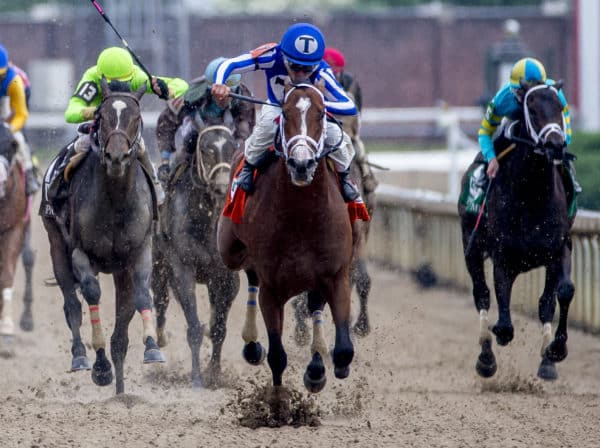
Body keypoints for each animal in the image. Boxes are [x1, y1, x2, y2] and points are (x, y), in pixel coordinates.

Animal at [41, 79, 164, 394]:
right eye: (103, 116)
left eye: (136, 118)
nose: (116, 157)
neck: (116, 200)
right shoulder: (80, 253)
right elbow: (91, 294)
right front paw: (99, 366)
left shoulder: (140, 251)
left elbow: (141, 294)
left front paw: (152, 348)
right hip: (56, 244)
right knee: (72, 304)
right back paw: (81, 356)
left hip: (120, 271)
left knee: (123, 316)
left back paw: (120, 386)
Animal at [151, 123, 240, 388]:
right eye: (205, 149)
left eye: (233, 147)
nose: (221, 186)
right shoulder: (183, 269)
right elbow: (193, 328)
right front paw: (197, 379)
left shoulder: (226, 276)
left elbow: (219, 326)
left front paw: (214, 371)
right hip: (159, 265)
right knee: (161, 300)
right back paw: (160, 338)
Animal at [218, 83, 354, 412]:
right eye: (286, 113)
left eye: (321, 113)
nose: (302, 164)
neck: (301, 215)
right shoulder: (272, 288)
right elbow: (277, 355)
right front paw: (278, 405)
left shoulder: (336, 275)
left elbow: (344, 348)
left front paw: (325, 370)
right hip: (229, 249)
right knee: (250, 275)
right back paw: (252, 344)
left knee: (315, 304)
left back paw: (316, 367)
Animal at [460, 79, 576, 380]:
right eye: (532, 111)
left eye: (560, 107)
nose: (555, 145)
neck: (532, 195)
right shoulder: (504, 255)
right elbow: (503, 316)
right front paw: (496, 339)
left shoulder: (559, 249)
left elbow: (559, 295)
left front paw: (555, 352)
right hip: (471, 246)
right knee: (482, 295)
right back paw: (486, 357)